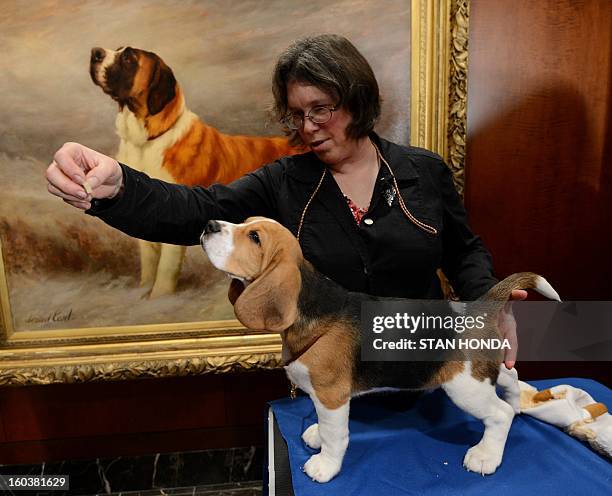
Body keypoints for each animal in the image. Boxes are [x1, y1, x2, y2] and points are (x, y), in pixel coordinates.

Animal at [89, 45, 304, 298]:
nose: (95, 52)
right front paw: (144, 295)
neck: (146, 142)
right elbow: (150, 265)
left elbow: (164, 271)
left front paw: (160, 297)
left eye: (128, 57)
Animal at [200, 219, 560, 482]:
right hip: (485, 370)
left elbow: (336, 434)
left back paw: (485, 455)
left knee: (500, 415)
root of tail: (477, 308)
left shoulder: (332, 395)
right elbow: (325, 426)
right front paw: (317, 435)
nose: (210, 224)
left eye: (254, 236)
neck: (310, 302)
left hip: (464, 387)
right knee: (510, 377)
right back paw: (516, 403)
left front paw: (325, 465)